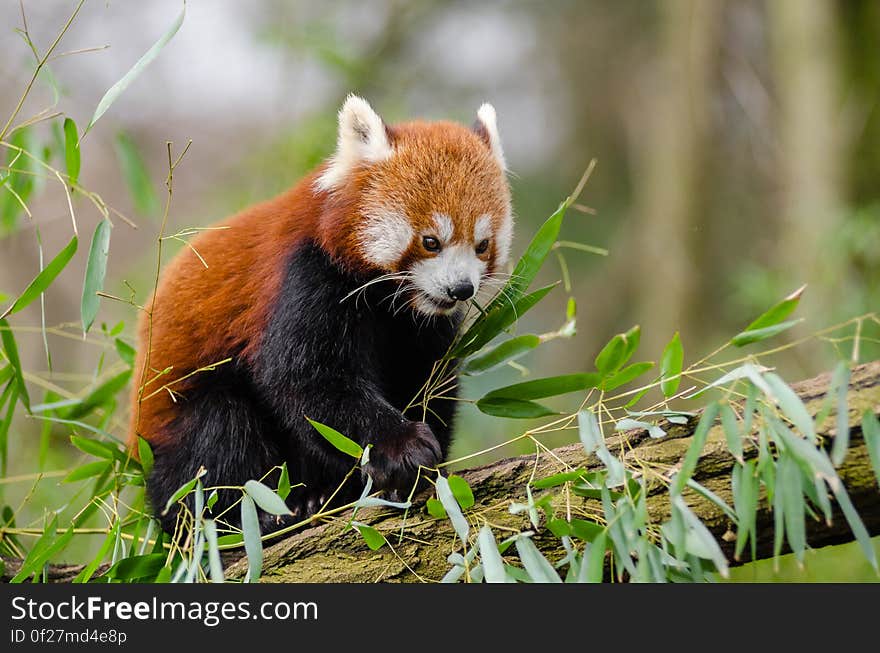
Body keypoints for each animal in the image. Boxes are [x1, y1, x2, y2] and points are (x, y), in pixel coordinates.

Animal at [131, 97, 516, 532]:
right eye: (431, 242)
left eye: (482, 245)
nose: (460, 289)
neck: (387, 298)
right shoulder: (308, 275)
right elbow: (307, 379)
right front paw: (404, 448)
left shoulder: (418, 325)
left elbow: (429, 382)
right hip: (171, 422)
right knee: (217, 434)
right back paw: (255, 517)